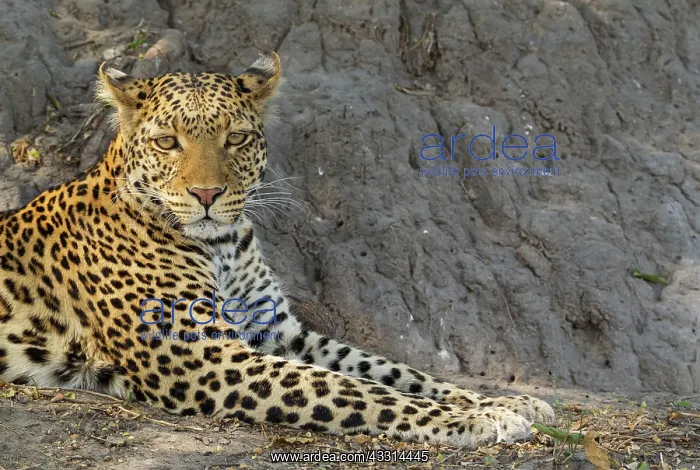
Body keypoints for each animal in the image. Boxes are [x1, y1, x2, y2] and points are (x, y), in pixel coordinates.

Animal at [0, 50, 555, 449]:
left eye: (237, 138)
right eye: (166, 143)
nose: (207, 195)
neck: (221, 245)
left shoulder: (279, 332)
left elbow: (389, 369)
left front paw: (504, 401)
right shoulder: (202, 356)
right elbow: (354, 389)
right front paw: (479, 417)